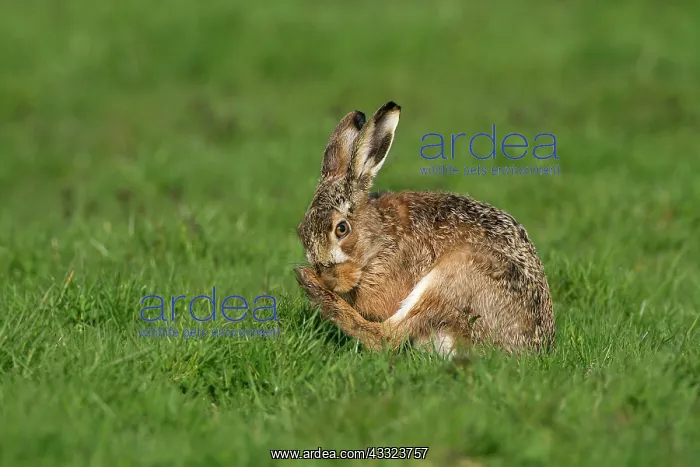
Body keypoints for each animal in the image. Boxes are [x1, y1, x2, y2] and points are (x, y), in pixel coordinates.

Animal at [294, 101, 555, 357]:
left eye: (342, 229)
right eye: (301, 231)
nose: (328, 279)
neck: (378, 238)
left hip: (456, 275)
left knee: (386, 338)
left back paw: (308, 282)